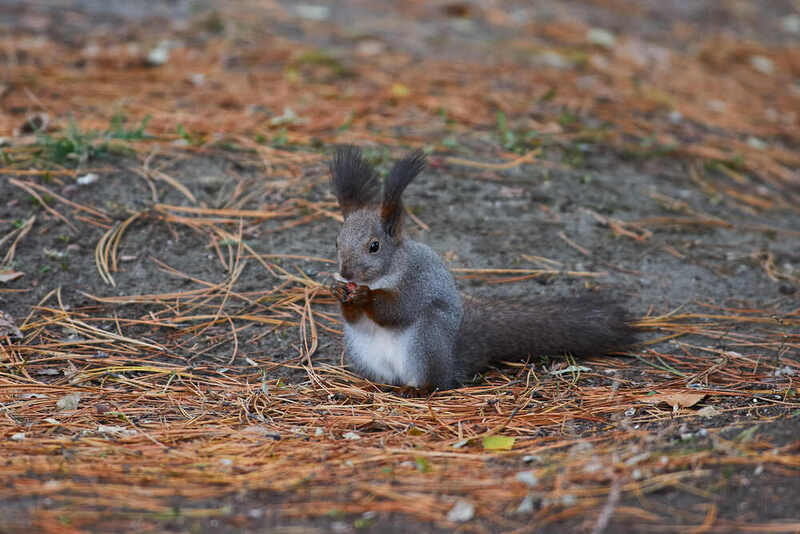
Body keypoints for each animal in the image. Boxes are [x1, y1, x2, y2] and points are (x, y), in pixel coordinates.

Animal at [328, 146, 637, 390]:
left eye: (374, 246)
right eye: (336, 241)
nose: (346, 274)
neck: (383, 274)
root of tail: (451, 363)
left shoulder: (418, 281)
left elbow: (397, 309)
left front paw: (365, 297)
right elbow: (352, 318)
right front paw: (338, 291)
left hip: (425, 342)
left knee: (434, 383)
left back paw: (416, 389)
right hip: (361, 351)